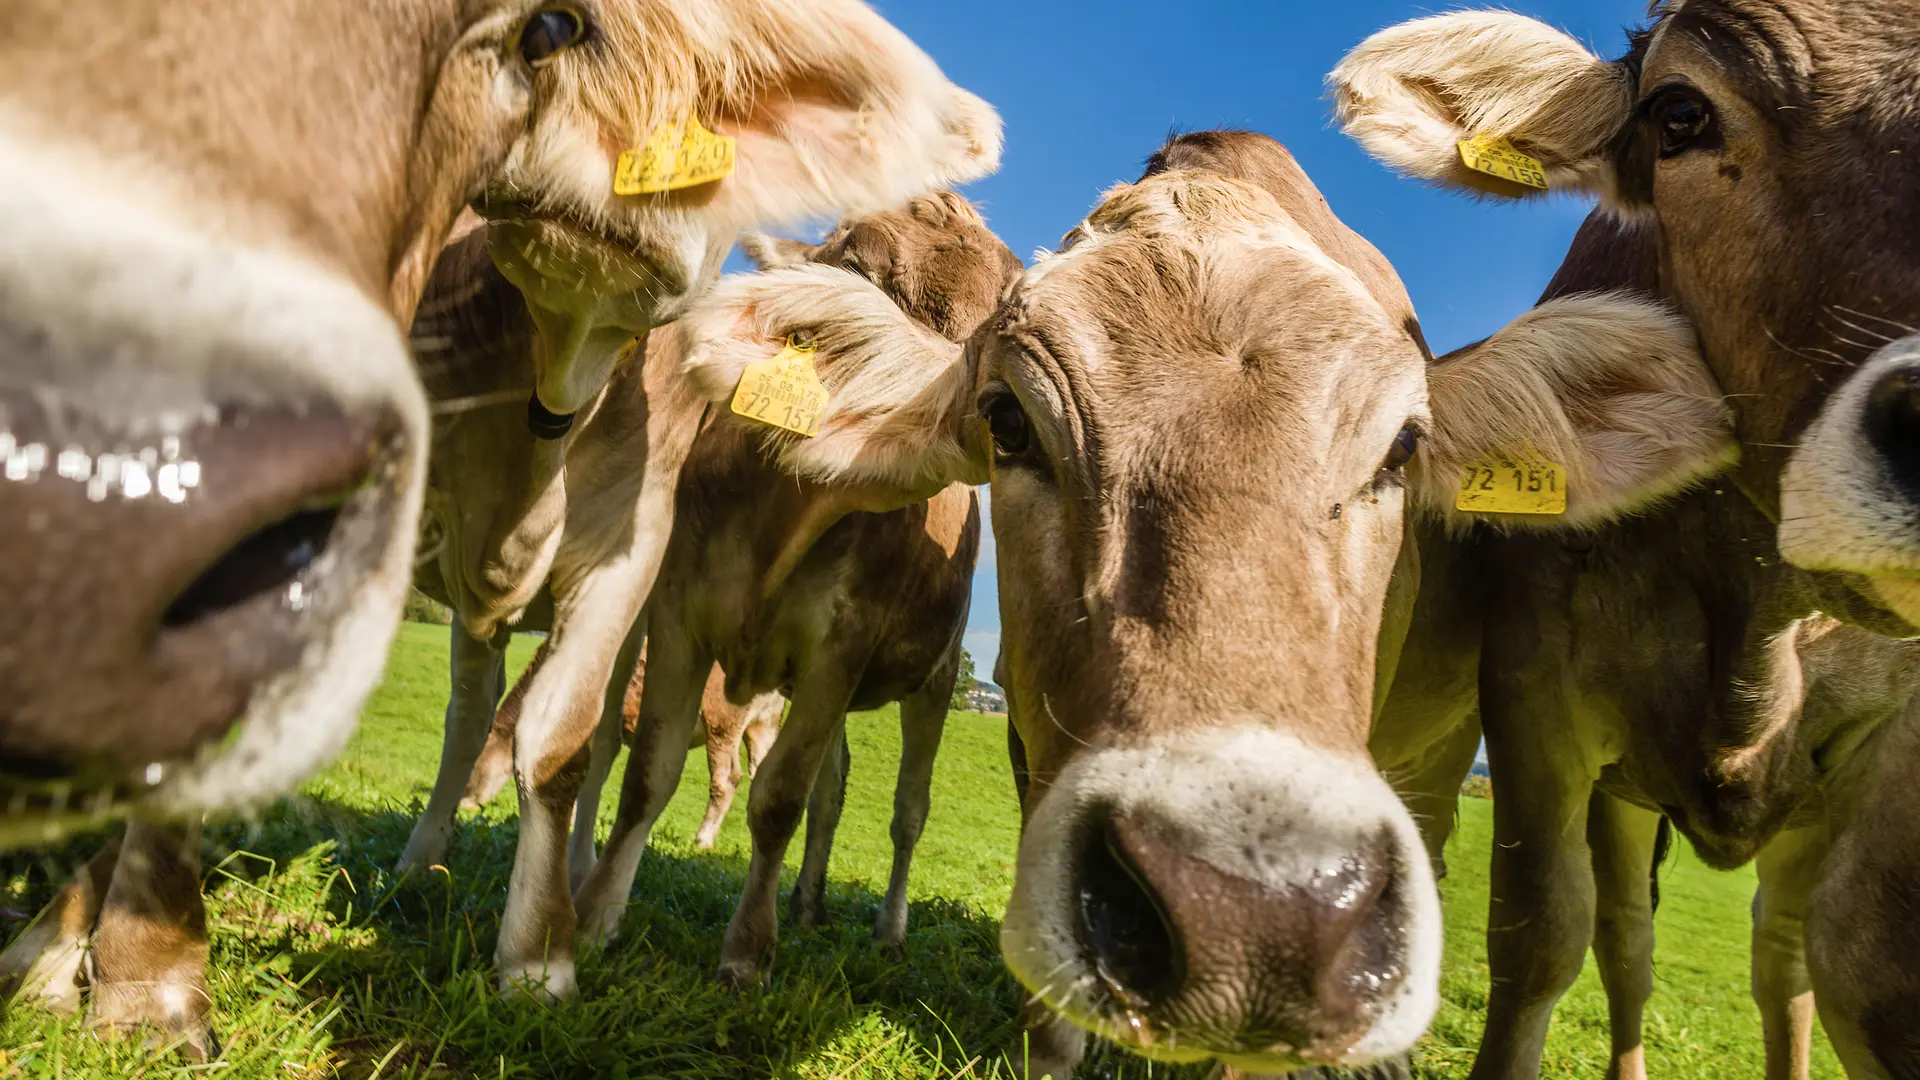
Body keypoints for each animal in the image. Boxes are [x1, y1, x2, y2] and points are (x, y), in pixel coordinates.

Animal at [460, 639, 784, 852]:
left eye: (472, 764)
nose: (463, 801)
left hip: (722, 719)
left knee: (726, 777)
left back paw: (703, 839)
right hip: (765, 724)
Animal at [1331, 5, 1920, 1077]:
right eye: (1679, 113)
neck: (1759, 609)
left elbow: (1864, 965)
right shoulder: (1535, 691)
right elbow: (1545, 937)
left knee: (1782, 955)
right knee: (1630, 942)